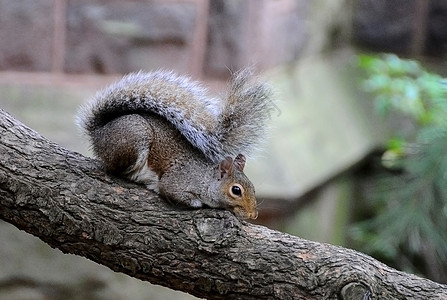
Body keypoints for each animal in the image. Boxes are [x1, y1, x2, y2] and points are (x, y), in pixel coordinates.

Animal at [76, 69, 272, 220]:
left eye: (253, 187)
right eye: (236, 190)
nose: (253, 215)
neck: (206, 179)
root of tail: (99, 132)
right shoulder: (177, 182)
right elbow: (173, 192)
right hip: (135, 137)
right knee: (115, 169)